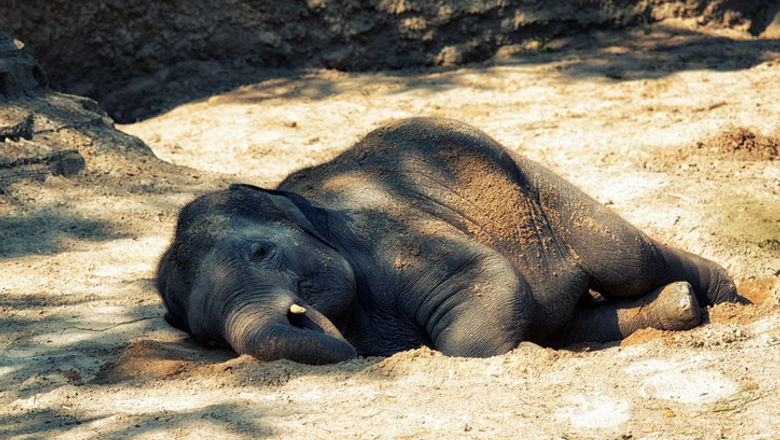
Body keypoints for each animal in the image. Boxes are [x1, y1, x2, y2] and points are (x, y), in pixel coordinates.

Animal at [156, 117, 743, 364]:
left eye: (261, 252)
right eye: (208, 338)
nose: (301, 314)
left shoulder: (387, 234)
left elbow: (485, 280)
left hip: (535, 183)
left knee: (628, 259)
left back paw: (723, 294)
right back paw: (678, 306)